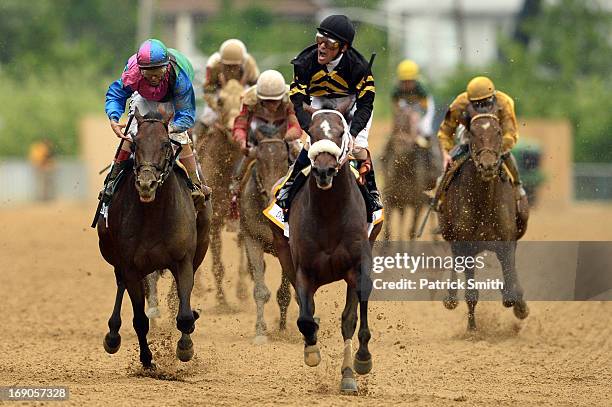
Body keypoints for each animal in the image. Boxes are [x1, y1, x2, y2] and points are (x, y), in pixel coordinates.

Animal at [99, 109, 212, 370]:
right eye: (135, 145)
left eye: (165, 145)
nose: (146, 183)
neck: (153, 216)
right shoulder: (130, 266)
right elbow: (140, 319)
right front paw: (147, 359)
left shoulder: (183, 261)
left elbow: (184, 314)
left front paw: (185, 346)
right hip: (113, 255)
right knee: (121, 284)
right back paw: (113, 335)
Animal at [270, 109, 380, 396]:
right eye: (312, 131)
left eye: (341, 133)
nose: (323, 170)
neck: (330, 213)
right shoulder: (303, 271)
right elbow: (305, 319)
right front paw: (312, 352)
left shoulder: (358, 267)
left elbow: (352, 320)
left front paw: (358, 365)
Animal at [438, 105, 528, 332]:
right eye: (473, 133)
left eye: (498, 131)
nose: (488, 165)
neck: (484, 202)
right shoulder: (466, 245)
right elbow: (471, 292)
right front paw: (472, 329)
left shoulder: (506, 242)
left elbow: (510, 284)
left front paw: (518, 304)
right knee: (454, 259)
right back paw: (450, 297)